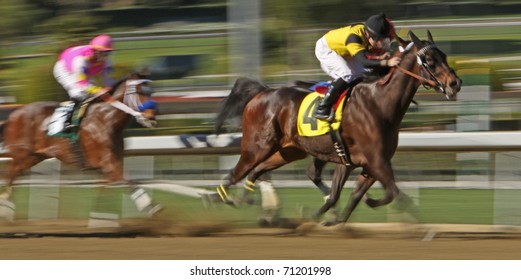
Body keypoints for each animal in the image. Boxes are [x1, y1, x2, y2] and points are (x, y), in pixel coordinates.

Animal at [0, 71, 160, 217]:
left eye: (151, 91)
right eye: (140, 91)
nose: (151, 117)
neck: (107, 119)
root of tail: (13, 115)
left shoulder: (111, 162)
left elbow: (105, 187)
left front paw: (98, 214)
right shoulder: (108, 161)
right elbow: (127, 178)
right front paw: (150, 206)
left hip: (34, 156)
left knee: (14, 173)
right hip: (22, 154)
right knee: (10, 172)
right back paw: (5, 206)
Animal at [213, 31, 462, 223]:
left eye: (444, 55)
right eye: (429, 60)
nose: (455, 83)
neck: (379, 102)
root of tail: (262, 92)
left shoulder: (361, 162)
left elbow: (352, 196)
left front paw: (329, 216)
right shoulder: (376, 162)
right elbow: (395, 194)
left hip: (288, 151)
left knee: (258, 170)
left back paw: (244, 198)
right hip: (257, 146)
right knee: (238, 171)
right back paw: (221, 197)